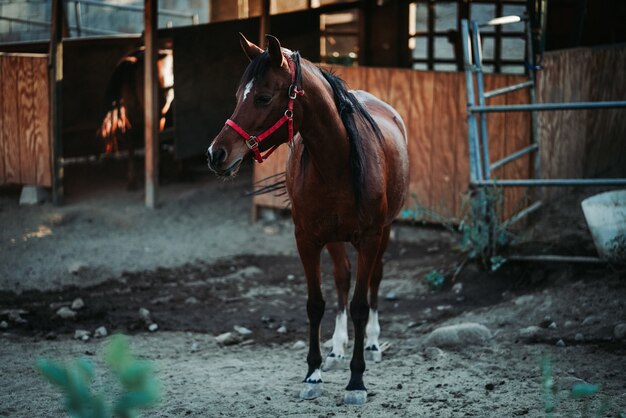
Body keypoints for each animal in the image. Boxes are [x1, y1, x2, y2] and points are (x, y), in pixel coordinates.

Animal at [97, 47, 176, 188]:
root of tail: (135, 60)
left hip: (130, 113)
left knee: (131, 142)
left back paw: (132, 181)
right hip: (158, 112)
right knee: (155, 138)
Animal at [206, 34, 410, 406]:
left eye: (263, 97)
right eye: (238, 95)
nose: (216, 154)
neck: (336, 164)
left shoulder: (370, 237)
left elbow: (360, 305)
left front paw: (356, 382)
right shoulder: (307, 239)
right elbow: (316, 304)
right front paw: (313, 374)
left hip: (384, 232)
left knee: (374, 280)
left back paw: (373, 344)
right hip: (335, 239)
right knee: (343, 278)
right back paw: (337, 350)